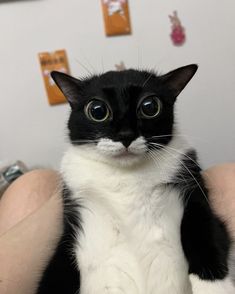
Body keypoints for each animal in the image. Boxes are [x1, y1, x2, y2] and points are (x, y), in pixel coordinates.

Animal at [37, 65, 234, 294]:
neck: (126, 177)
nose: (126, 134)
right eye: (97, 110)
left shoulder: (191, 188)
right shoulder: (72, 219)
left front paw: (215, 287)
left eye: (150, 107)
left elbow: (204, 230)